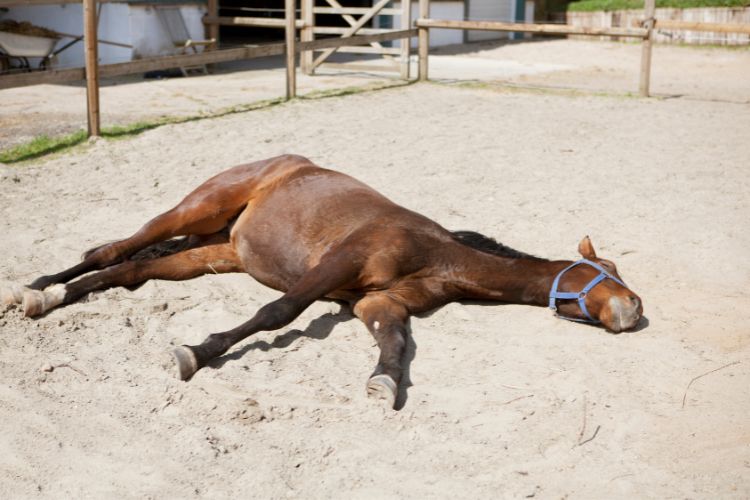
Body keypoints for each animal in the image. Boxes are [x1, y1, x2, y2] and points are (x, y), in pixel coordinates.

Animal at [2, 154, 644, 408]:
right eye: (605, 271)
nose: (634, 309)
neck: (435, 253)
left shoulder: (379, 303)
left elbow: (396, 344)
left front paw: (383, 383)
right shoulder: (335, 268)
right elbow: (277, 314)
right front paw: (196, 353)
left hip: (217, 252)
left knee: (130, 269)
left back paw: (53, 296)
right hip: (197, 209)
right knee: (114, 248)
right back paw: (36, 288)